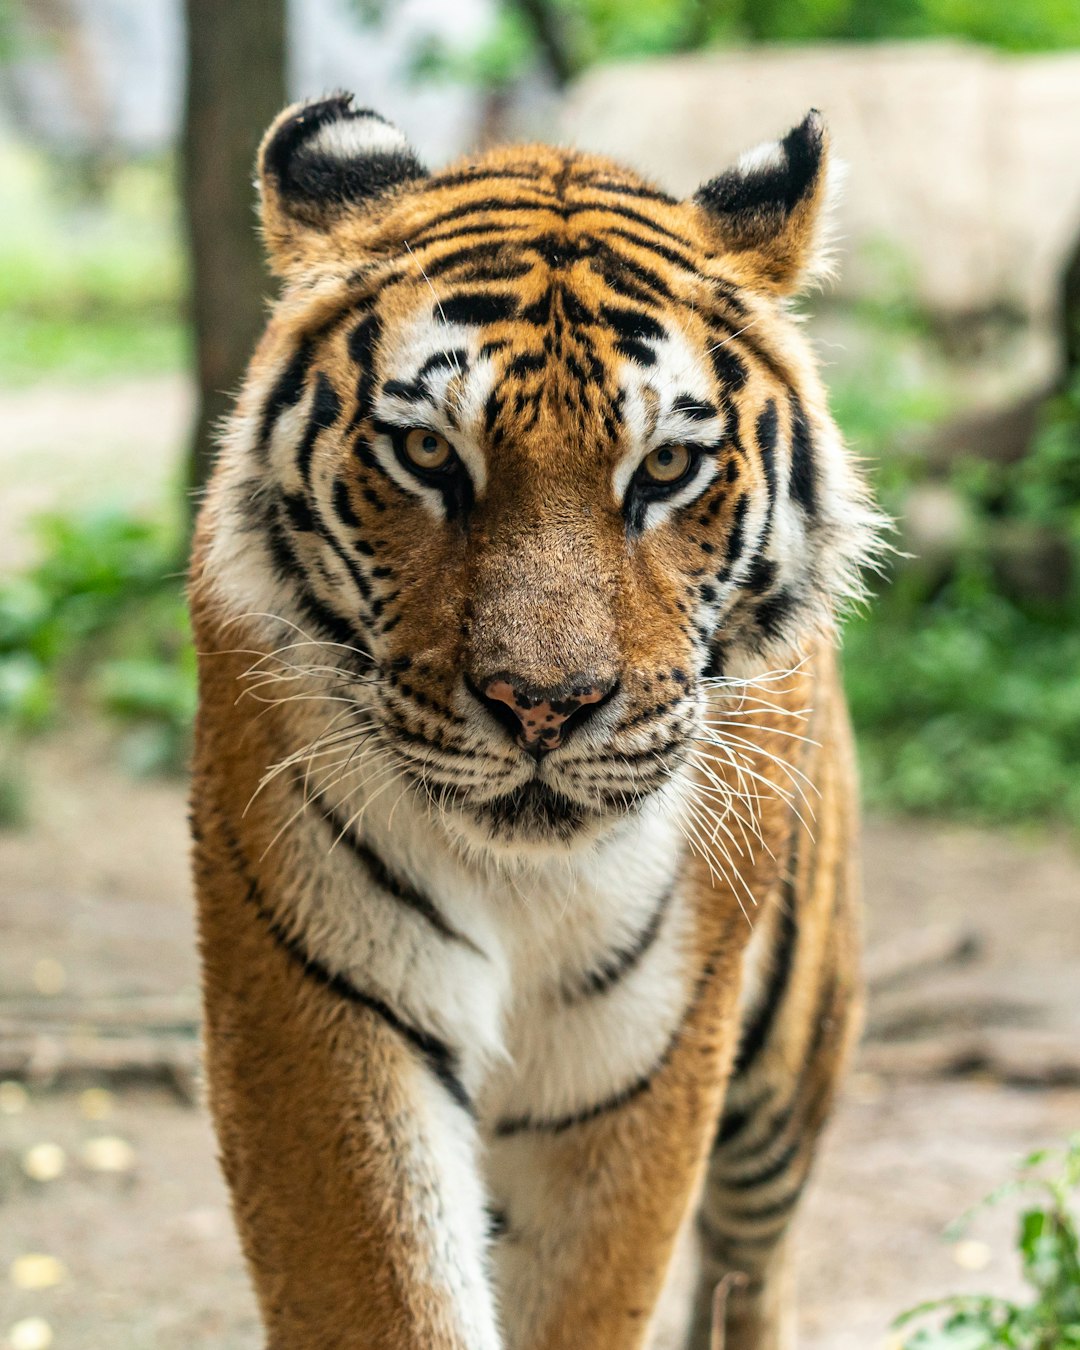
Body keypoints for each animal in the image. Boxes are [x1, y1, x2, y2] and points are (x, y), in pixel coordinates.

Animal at [190, 95, 885, 1350]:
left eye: (666, 467)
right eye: (427, 452)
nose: (543, 706)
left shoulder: (641, 1055)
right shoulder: (323, 1001)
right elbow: (387, 1289)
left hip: (788, 1055)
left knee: (753, 1262)